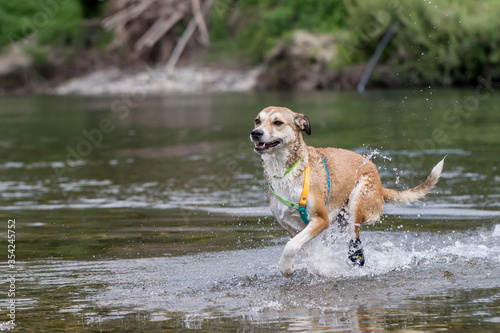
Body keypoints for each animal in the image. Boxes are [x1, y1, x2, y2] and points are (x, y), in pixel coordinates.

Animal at [250, 107, 446, 278]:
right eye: (257, 120)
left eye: (278, 122)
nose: (255, 133)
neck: (287, 172)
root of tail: (380, 184)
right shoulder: (293, 227)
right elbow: (303, 248)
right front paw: (305, 267)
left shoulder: (321, 220)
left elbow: (291, 246)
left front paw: (286, 268)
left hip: (357, 203)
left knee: (356, 247)